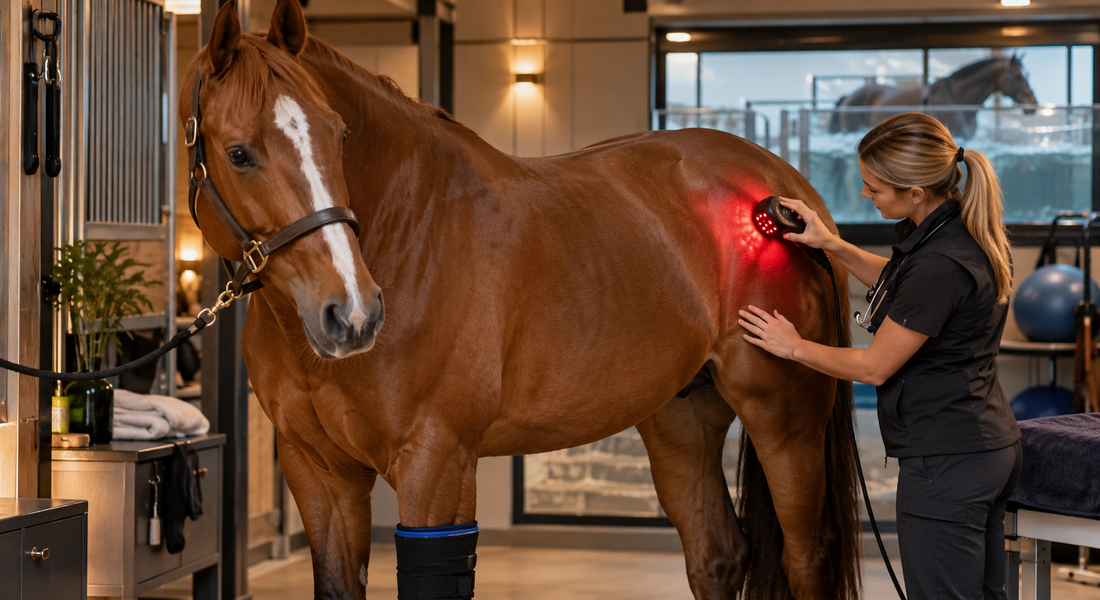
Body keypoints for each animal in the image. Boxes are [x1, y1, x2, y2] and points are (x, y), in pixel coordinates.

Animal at [184, 1, 859, 598]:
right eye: (239, 152)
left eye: (340, 136)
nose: (353, 314)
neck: (406, 231)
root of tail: (785, 189)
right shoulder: (319, 473)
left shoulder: (437, 466)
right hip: (681, 418)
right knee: (718, 555)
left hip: (784, 421)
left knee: (806, 560)